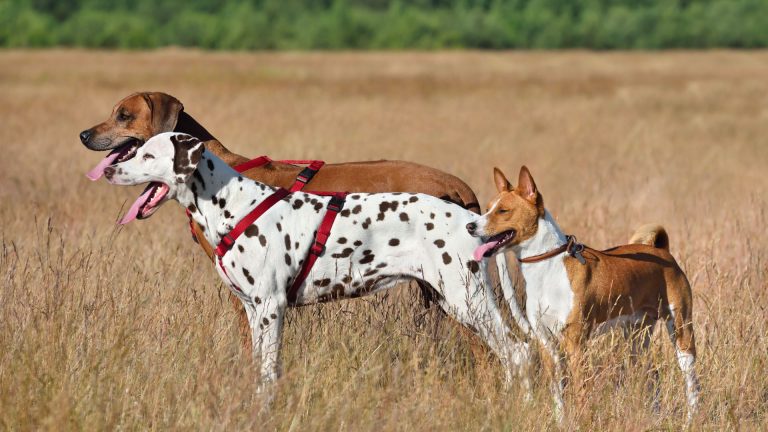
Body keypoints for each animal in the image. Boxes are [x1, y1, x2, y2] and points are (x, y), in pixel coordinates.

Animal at [103, 132, 536, 398]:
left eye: (147, 154)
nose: (108, 169)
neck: (235, 205)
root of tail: (474, 219)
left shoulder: (271, 308)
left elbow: (268, 372)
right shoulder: (252, 311)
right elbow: (262, 370)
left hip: (468, 301)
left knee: (517, 354)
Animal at [468, 167, 704, 424]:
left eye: (503, 211)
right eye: (487, 207)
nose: (470, 226)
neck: (548, 269)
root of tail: (662, 251)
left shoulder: (576, 342)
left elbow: (581, 389)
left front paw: (582, 421)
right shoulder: (546, 342)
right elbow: (558, 391)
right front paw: (561, 422)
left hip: (681, 331)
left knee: (692, 383)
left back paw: (691, 419)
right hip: (636, 335)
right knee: (652, 374)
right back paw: (655, 417)